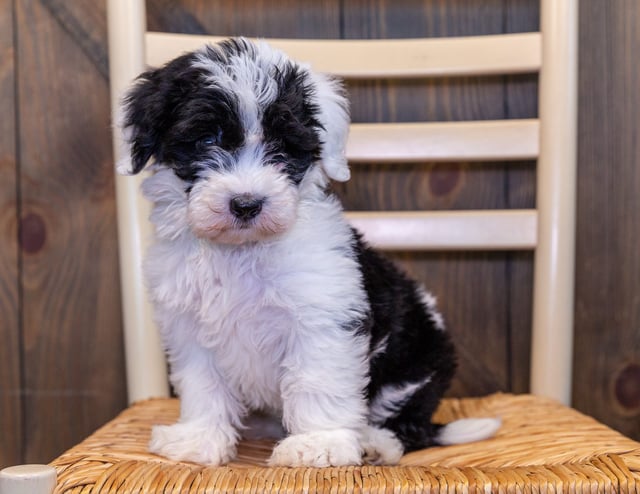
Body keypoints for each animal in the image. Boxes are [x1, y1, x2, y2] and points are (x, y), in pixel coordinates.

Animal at [119, 37, 500, 466]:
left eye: (284, 147)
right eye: (206, 140)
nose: (246, 204)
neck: (240, 251)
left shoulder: (323, 315)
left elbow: (317, 379)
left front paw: (319, 444)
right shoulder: (189, 327)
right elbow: (204, 384)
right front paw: (199, 439)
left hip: (414, 366)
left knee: (406, 424)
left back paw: (376, 444)